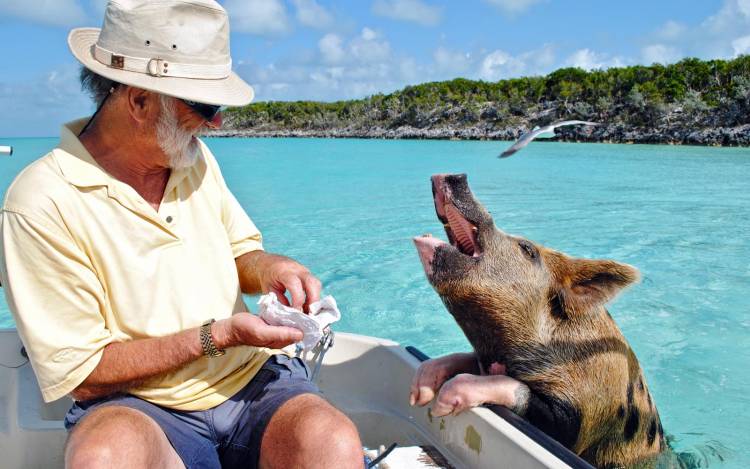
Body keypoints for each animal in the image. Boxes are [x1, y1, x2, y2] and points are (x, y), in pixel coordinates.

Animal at [414, 173, 668, 468]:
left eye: (528, 249)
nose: (456, 175)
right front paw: (418, 392)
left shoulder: (579, 418)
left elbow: (525, 395)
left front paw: (442, 402)